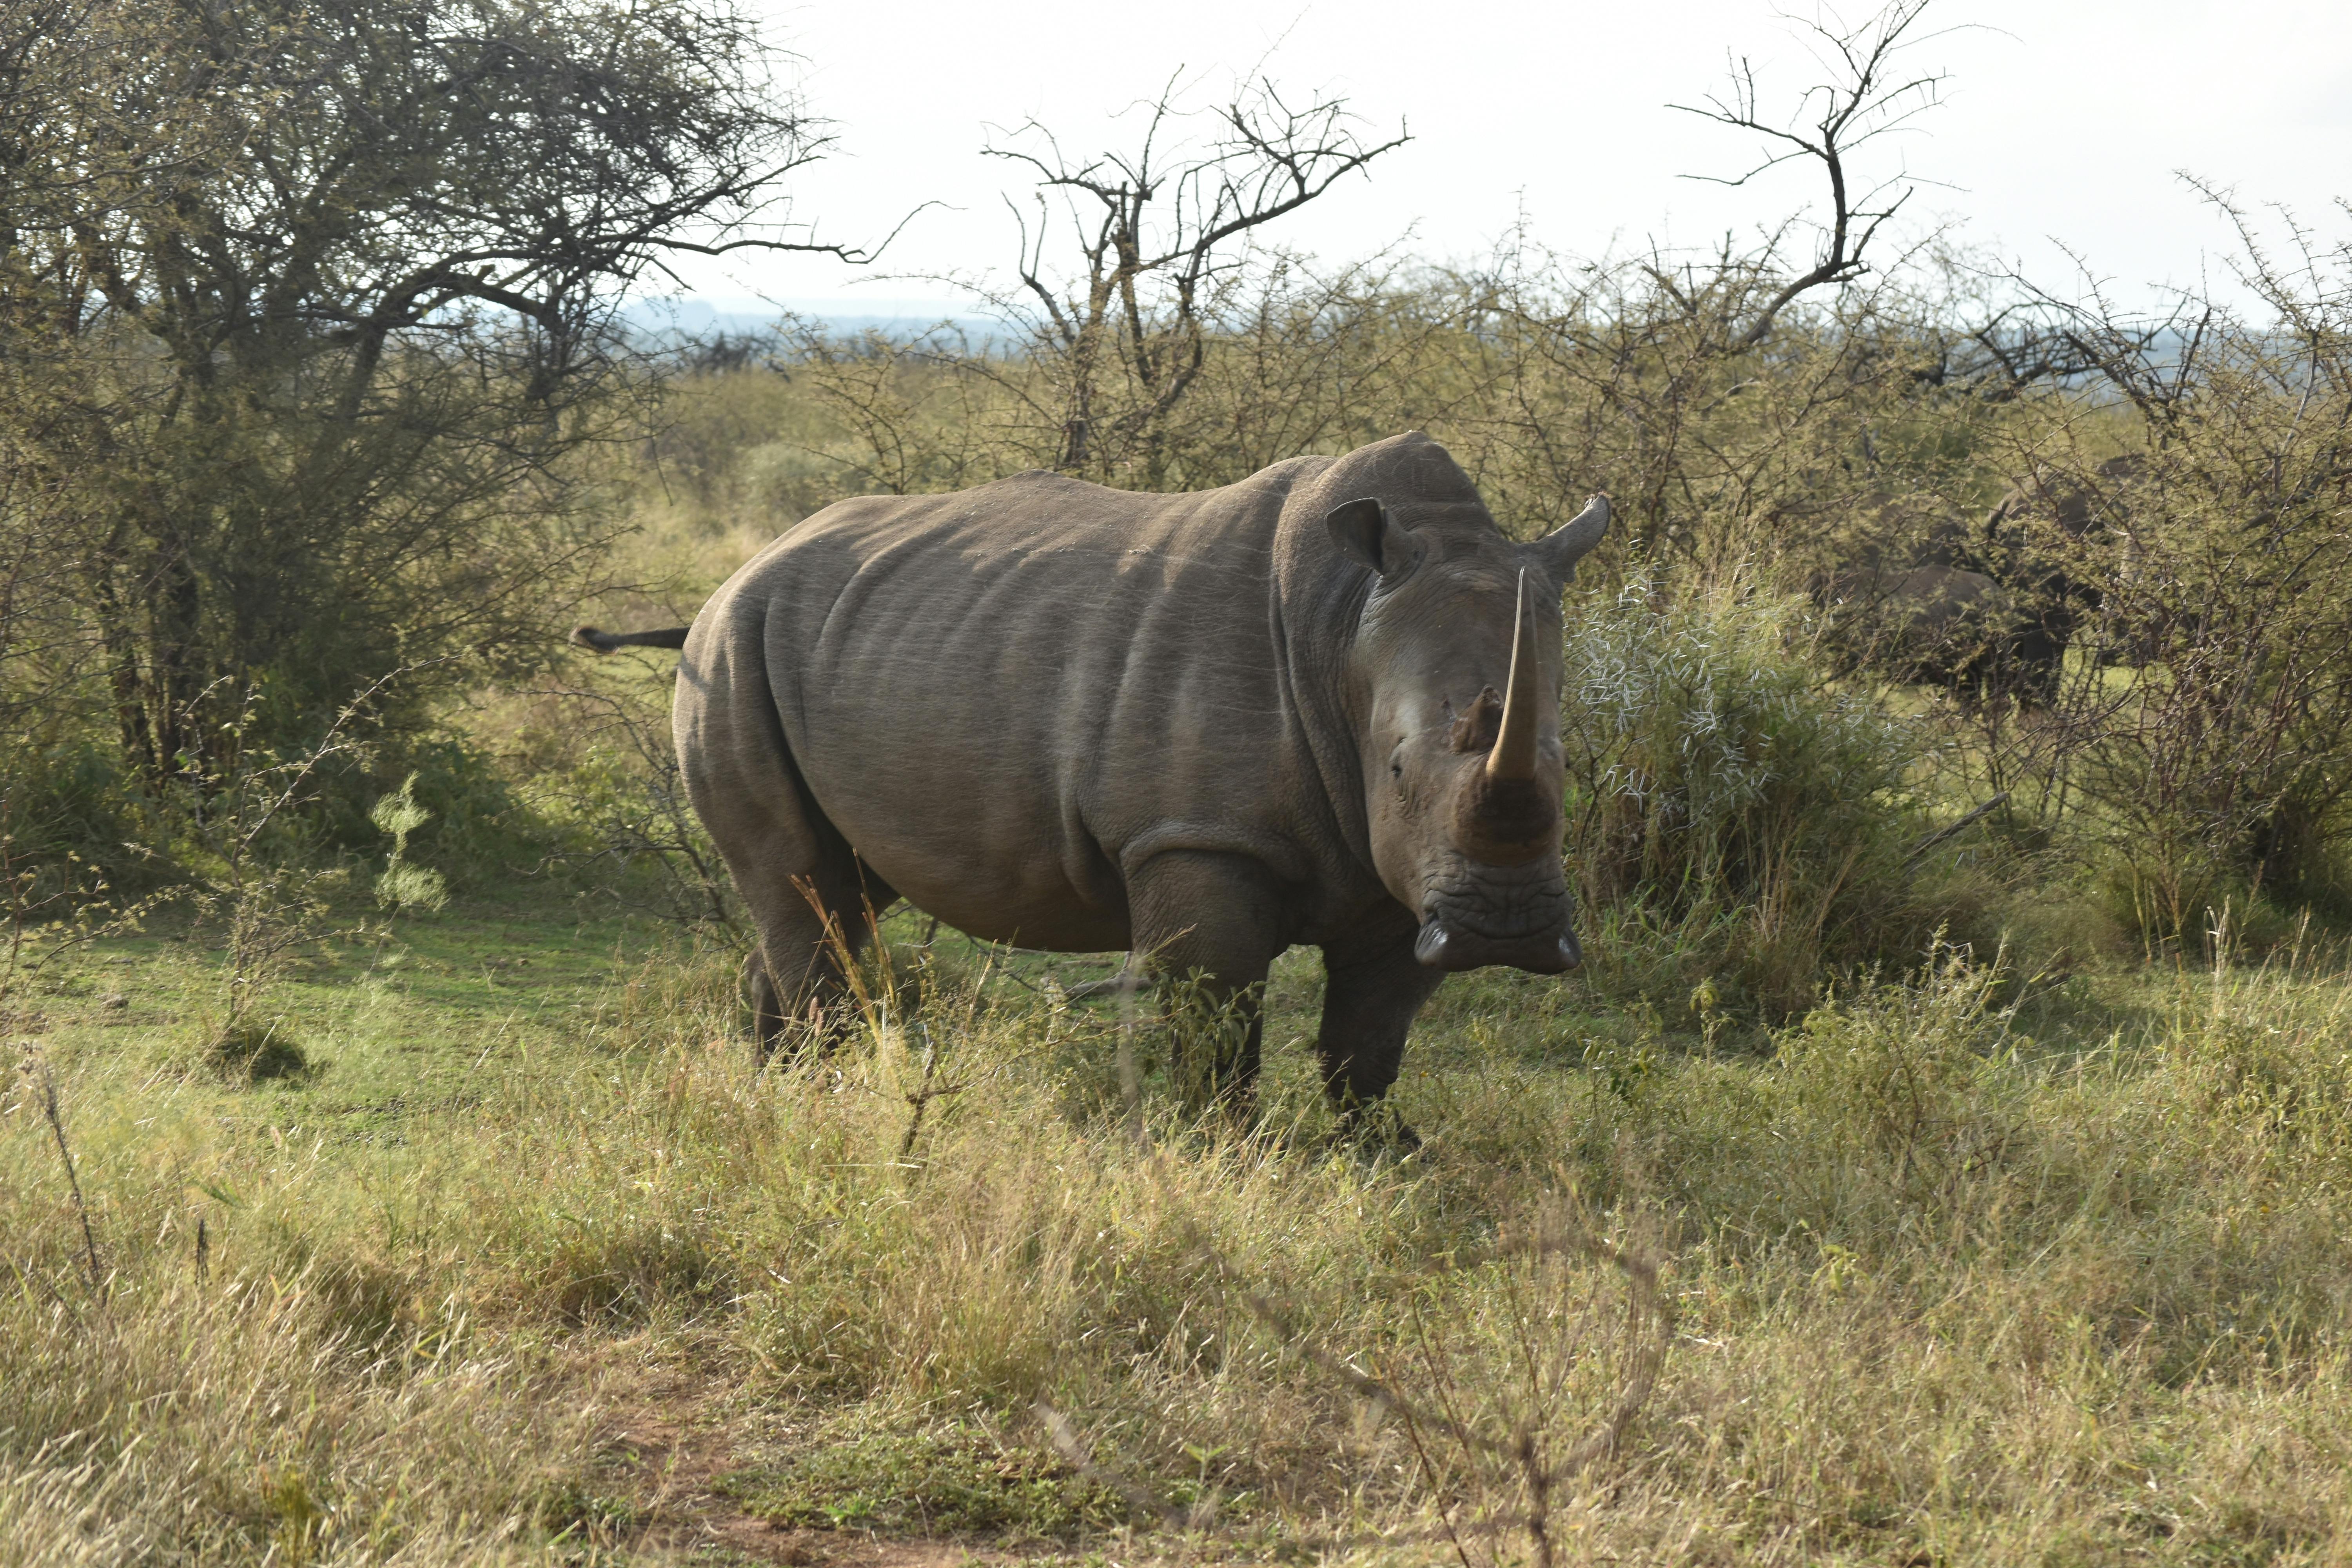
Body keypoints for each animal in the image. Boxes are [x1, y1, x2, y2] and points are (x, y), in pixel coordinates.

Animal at [578, 432, 1607, 1123]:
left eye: (1565, 762)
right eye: (1395, 766)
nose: (1504, 929)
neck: (1345, 622)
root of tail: (730, 579)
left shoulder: (1403, 870)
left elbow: (1369, 1041)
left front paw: (1385, 1157)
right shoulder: (1197, 836)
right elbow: (1216, 1022)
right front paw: (1222, 1156)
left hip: (841, 640)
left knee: (834, 893)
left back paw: (776, 1094)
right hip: (733, 644)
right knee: (805, 891)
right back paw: (817, 1103)